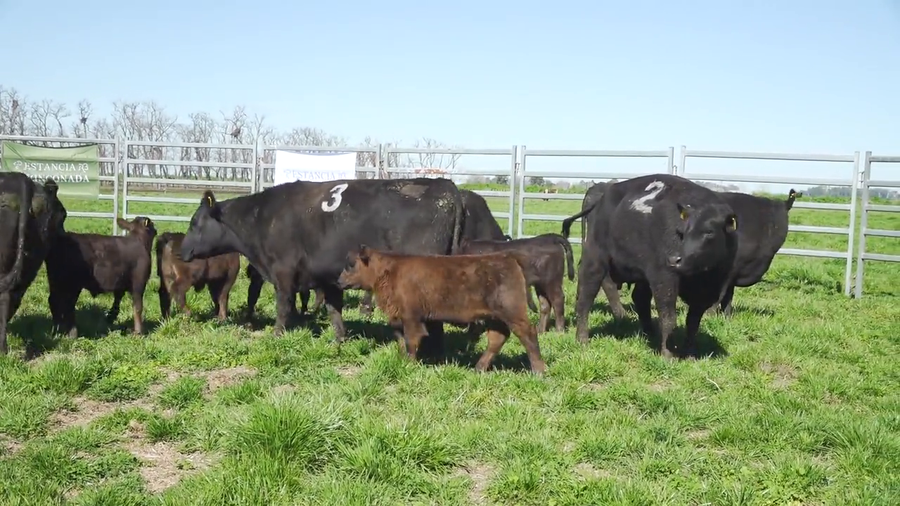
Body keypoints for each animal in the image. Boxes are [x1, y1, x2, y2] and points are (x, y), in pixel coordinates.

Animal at [179, 177, 465, 342]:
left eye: (194, 223)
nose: (182, 252)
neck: (262, 218)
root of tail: (445, 185)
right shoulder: (329, 277)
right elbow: (333, 309)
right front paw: (339, 340)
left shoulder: (283, 272)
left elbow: (283, 306)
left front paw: (276, 335)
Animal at [337, 245, 546, 375]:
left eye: (351, 264)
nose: (339, 281)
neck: (389, 271)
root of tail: (507, 257)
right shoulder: (398, 317)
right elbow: (400, 340)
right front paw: (402, 360)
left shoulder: (411, 317)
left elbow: (411, 340)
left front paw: (410, 364)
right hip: (495, 317)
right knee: (498, 338)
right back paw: (478, 368)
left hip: (513, 313)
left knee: (528, 334)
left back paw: (539, 371)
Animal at [573, 174, 739, 359]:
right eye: (682, 231)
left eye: (709, 232)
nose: (674, 259)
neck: (704, 277)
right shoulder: (663, 278)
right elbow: (668, 316)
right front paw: (668, 354)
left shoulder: (704, 295)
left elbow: (693, 322)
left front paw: (690, 353)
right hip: (595, 259)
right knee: (586, 296)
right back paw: (582, 339)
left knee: (639, 297)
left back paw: (649, 333)